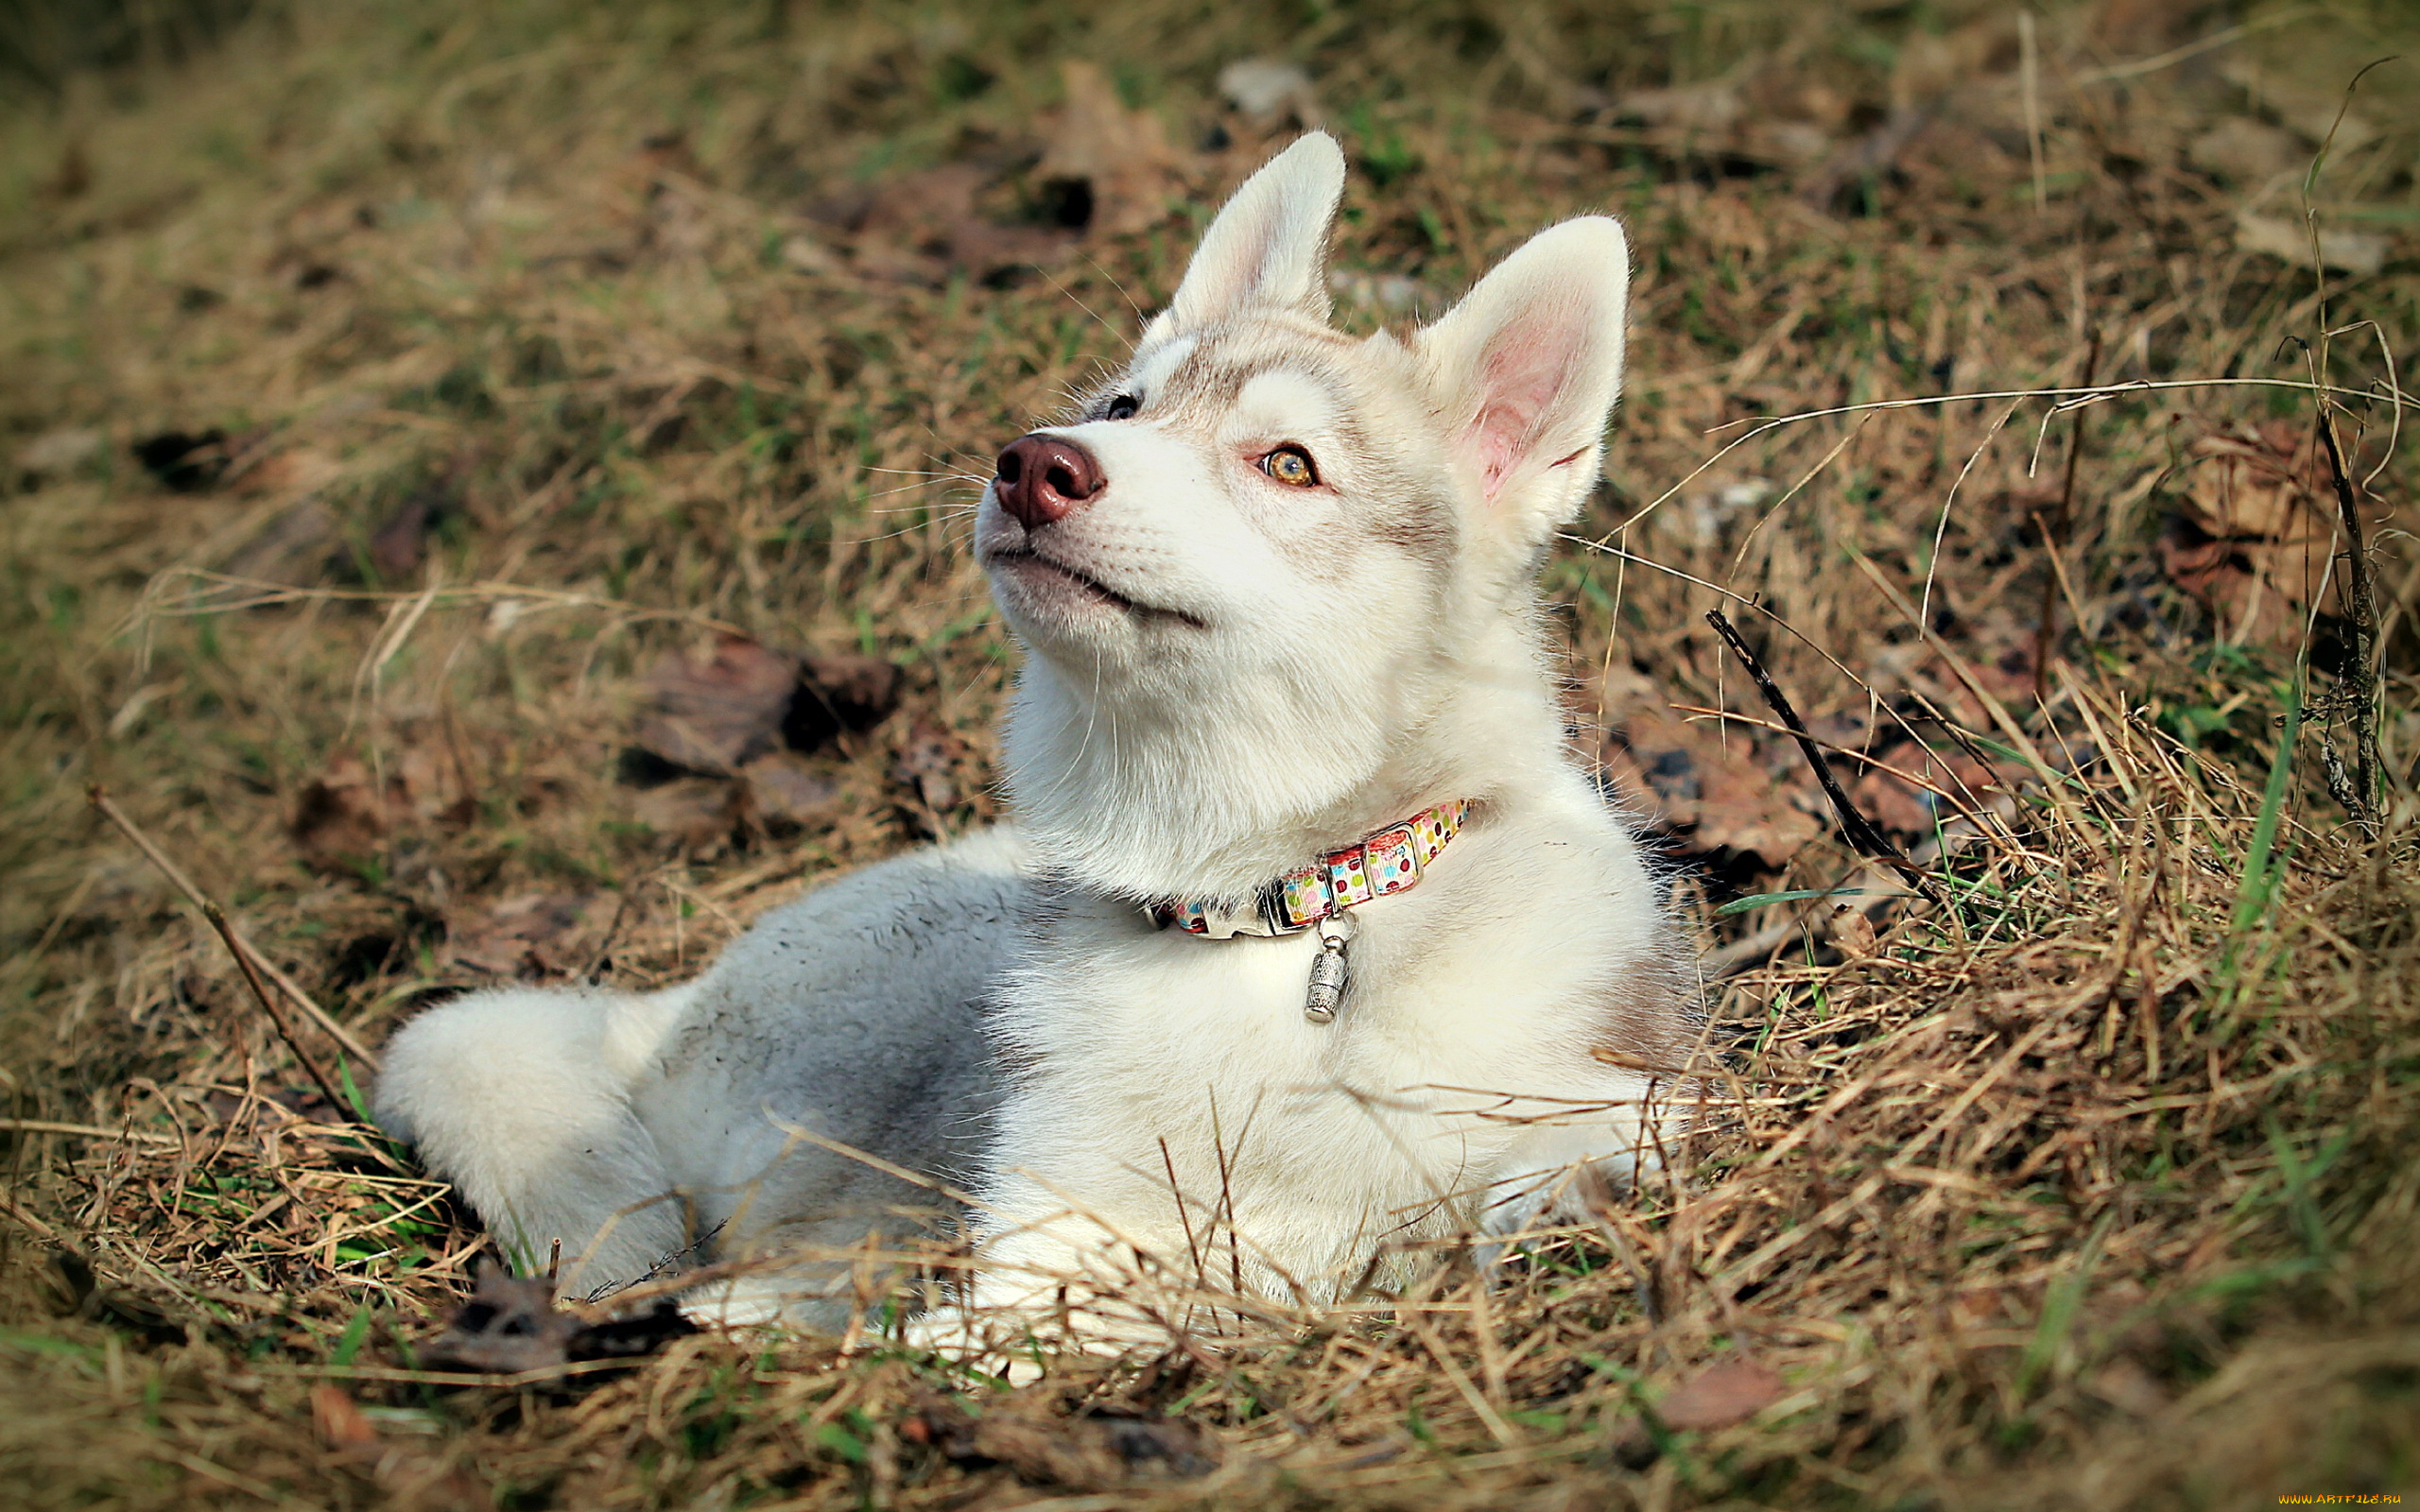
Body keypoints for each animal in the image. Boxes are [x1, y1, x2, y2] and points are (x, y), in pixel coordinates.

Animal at [377, 135, 1703, 1345]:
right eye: (1122, 409)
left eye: (1288, 464)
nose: (1033, 465)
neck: (1285, 914)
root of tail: (669, 996)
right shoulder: (1043, 1235)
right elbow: (1021, 1325)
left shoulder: (1608, 1111)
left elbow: (1525, 1182)